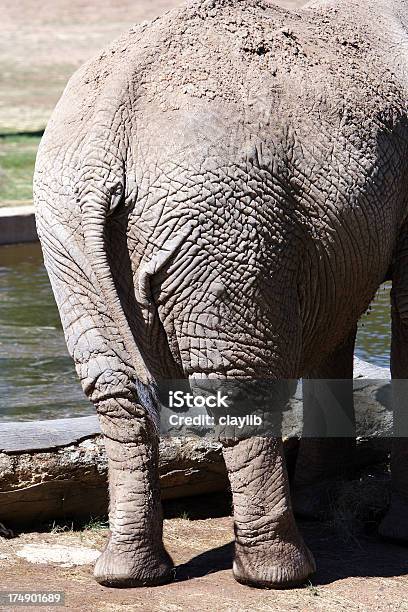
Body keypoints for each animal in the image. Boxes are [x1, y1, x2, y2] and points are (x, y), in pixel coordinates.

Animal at [33, 0, 408, 592]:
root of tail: (105, 141)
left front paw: (324, 505)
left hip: (67, 229)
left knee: (115, 390)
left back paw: (127, 575)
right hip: (223, 225)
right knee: (237, 386)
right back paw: (278, 574)